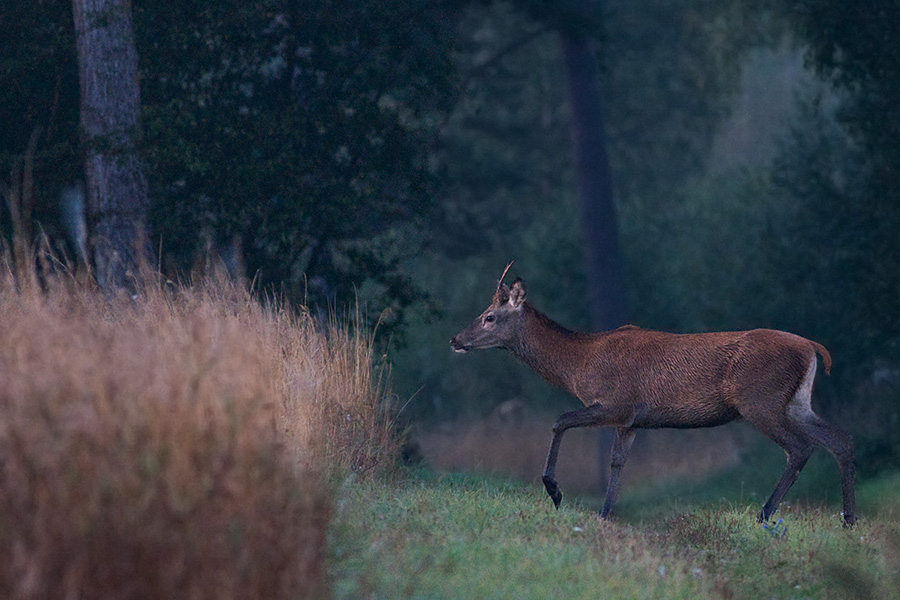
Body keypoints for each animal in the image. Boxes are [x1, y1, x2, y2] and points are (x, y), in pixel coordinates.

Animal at [450, 262, 856, 524]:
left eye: (489, 316)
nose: (456, 340)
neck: (579, 365)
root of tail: (812, 348)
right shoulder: (632, 420)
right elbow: (617, 461)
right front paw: (605, 514)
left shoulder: (616, 402)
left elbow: (560, 420)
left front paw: (555, 491)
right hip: (797, 402)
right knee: (840, 438)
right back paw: (848, 519)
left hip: (761, 400)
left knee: (800, 447)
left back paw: (766, 513)